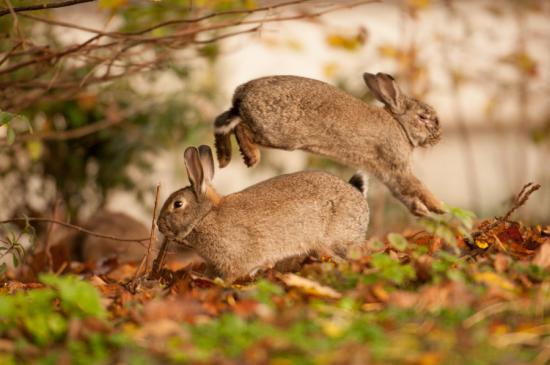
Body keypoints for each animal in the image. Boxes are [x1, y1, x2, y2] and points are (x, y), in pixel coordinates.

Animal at [156, 145, 370, 282]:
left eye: (177, 204)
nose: (159, 225)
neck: (206, 216)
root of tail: (359, 195)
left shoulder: (234, 259)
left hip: (336, 240)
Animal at [215, 72, 444, 218]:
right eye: (423, 117)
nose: (439, 136)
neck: (400, 125)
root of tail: (242, 94)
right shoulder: (397, 165)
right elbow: (417, 185)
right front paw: (439, 207)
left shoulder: (388, 172)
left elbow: (402, 192)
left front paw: (422, 211)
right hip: (278, 134)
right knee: (240, 127)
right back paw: (251, 156)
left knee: (222, 123)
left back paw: (224, 158)